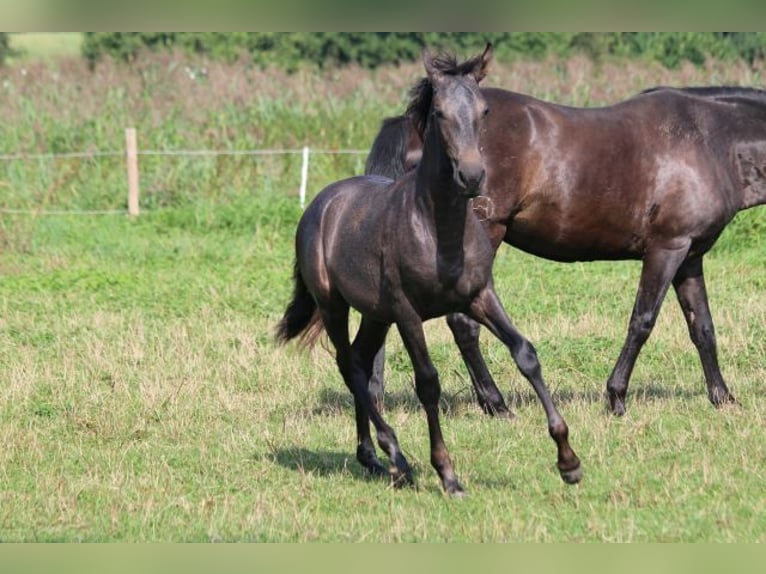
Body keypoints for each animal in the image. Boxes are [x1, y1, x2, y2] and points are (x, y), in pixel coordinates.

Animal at [276, 46, 584, 496]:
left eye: (484, 110)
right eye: (439, 112)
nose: (472, 176)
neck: (438, 229)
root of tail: (321, 204)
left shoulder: (479, 296)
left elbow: (525, 353)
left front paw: (568, 461)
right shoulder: (408, 313)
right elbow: (428, 382)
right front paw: (448, 474)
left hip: (375, 314)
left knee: (362, 361)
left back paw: (372, 457)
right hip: (335, 305)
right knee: (349, 366)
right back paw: (396, 456)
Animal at [366, 83, 766, 416]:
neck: (708, 140)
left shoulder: (690, 257)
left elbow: (703, 327)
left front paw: (723, 398)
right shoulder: (666, 249)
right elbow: (642, 322)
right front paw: (616, 397)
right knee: (463, 323)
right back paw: (497, 404)